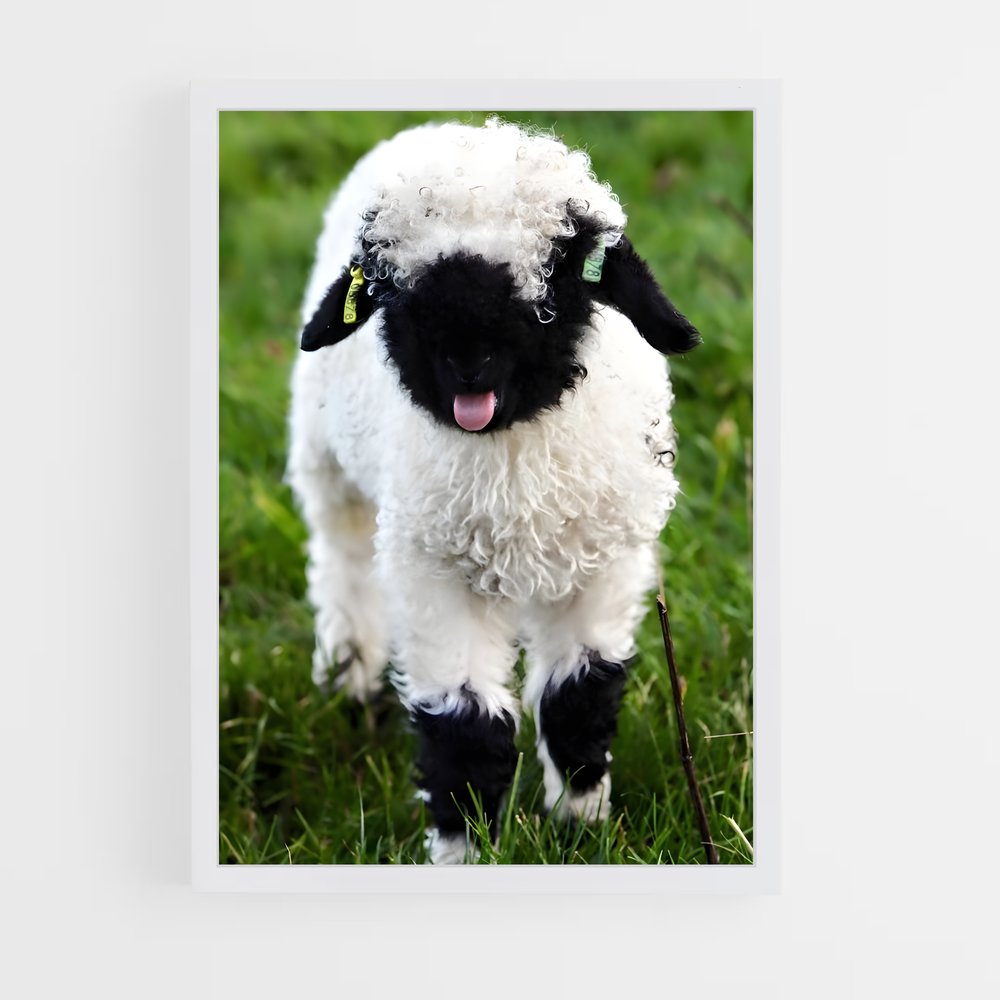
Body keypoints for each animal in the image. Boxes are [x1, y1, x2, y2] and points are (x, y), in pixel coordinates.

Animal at [286, 117, 701, 864]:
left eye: (554, 279)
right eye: (394, 291)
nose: (466, 359)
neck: (513, 470)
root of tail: (445, 126)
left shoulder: (603, 564)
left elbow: (578, 697)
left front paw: (580, 826)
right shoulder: (435, 573)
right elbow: (464, 727)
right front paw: (464, 848)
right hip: (327, 463)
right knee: (343, 560)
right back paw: (347, 672)